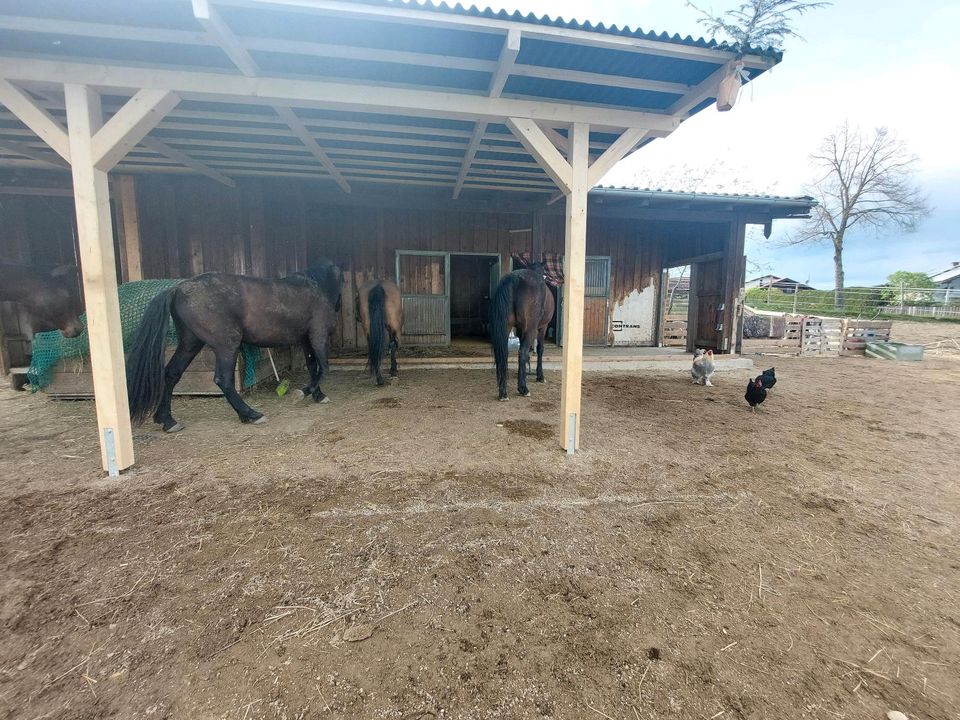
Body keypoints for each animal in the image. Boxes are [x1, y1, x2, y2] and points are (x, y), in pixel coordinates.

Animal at [124, 264, 342, 434]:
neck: (314, 287)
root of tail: (177, 289)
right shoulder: (318, 335)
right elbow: (323, 368)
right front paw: (304, 392)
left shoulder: (306, 340)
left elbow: (313, 367)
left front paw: (318, 395)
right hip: (227, 346)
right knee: (224, 380)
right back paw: (251, 414)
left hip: (190, 344)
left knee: (171, 374)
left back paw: (167, 421)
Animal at [488, 262, 556, 400]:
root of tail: (515, 278)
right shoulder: (542, 327)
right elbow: (540, 349)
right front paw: (540, 376)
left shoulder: (520, 330)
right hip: (531, 328)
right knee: (522, 352)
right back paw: (523, 389)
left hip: (506, 327)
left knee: (504, 353)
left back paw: (503, 392)